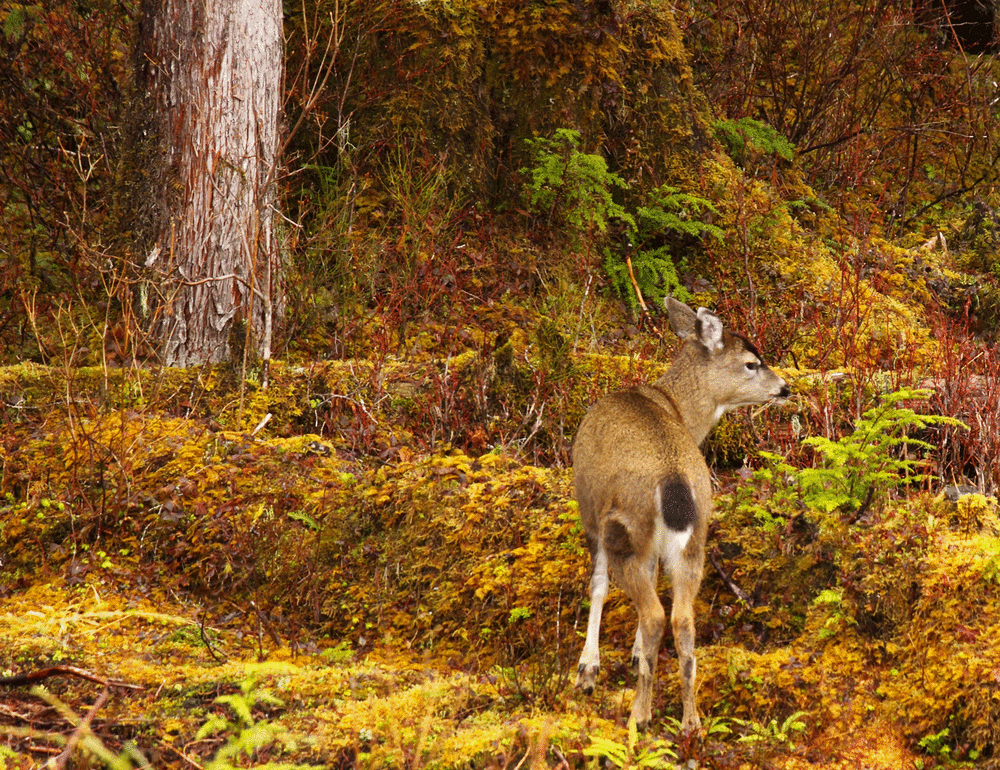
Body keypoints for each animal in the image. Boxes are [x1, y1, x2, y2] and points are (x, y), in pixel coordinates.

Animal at [572, 294, 788, 732]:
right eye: (751, 363)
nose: (784, 388)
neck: (675, 407)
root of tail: (673, 480)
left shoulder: (590, 511)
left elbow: (598, 586)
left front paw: (588, 669)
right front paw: (635, 654)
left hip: (626, 528)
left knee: (656, 613)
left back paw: (639, 716)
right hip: (696, 538)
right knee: (683, 619)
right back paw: (691, 721)